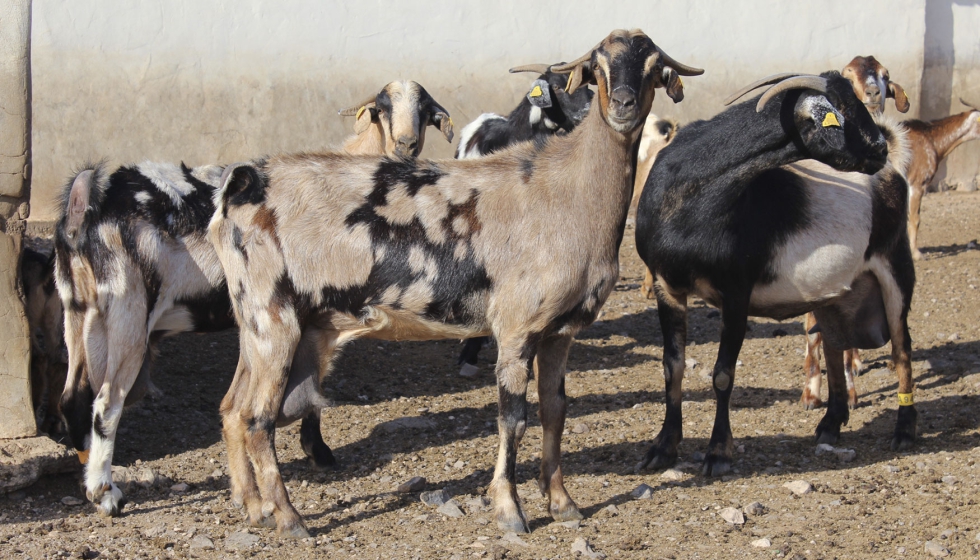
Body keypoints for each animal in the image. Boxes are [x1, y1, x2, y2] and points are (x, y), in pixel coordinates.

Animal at [54, 82, 452, 518]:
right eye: (381, 108)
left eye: (426, 110)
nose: (406, 144)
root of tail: (85, 203)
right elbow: (316, 379)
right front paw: (318, 451)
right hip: (127, 307)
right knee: (106, 402)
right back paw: (106, 493)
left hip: (79, 308)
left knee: (72, 399)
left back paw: (90, 481)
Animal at [635, 71, 917, 477]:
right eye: (843, 111)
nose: (878, 147)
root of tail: (892, 174)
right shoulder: (666, 286)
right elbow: (672, 367)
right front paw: (662, 448)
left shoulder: (736, 291)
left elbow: (722, 373)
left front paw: (718, 453)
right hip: (835, 294)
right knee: (834, 346)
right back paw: (830, 425)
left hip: (896, 266)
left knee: (901, 347)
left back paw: (905, 431)